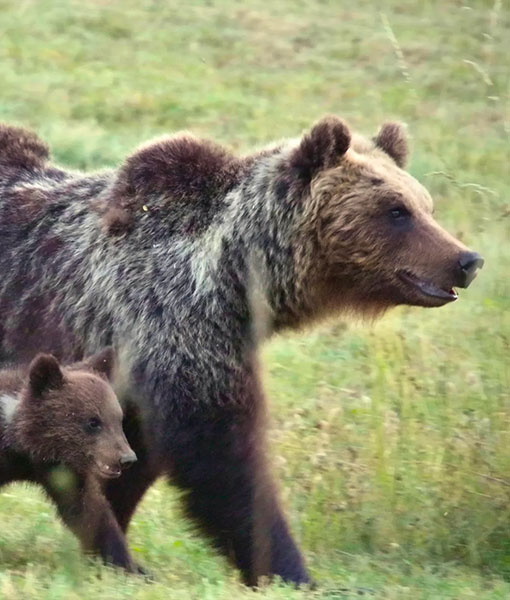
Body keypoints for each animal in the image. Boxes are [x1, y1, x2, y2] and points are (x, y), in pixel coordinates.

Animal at [0, 118, 482, 584]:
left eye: (426, 206)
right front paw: (290, 570)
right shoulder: (173, 324)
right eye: (396, 210)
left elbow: (129, 460)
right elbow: (225, 459)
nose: (466, 260)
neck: (237, 279)